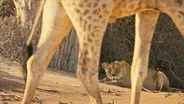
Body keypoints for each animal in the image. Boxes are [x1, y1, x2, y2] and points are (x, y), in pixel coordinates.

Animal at [21, 0, 184, 104]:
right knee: (86, 69)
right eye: (110, 69)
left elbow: (138, 68)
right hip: (95, 13)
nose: (113, 74)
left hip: (58, 13)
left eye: (116, 68)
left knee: (36, 61)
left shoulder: (149, 10)